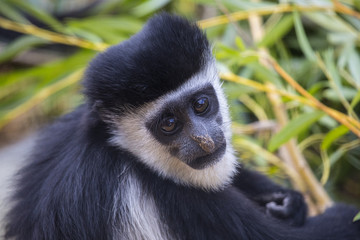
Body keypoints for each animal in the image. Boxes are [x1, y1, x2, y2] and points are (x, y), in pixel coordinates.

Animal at [3, 13, 360, 240]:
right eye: (169, 124)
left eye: (201, 104)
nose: (204, 140)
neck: (122, 148)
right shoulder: (168, 199)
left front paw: (287, 202)